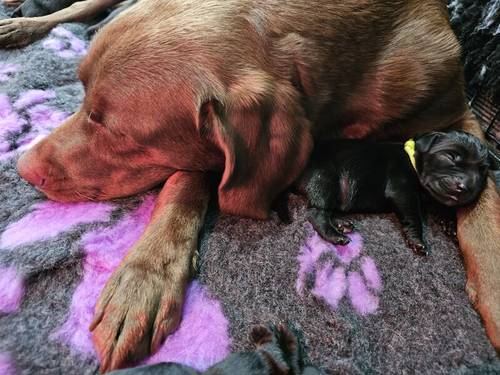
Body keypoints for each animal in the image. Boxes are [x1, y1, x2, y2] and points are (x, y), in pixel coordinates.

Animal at [294, 131, 490, 258]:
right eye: (450, 157)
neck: (413, 159)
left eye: (482, 170)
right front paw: (417, 240)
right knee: (316, 212)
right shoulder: (402, 192)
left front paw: (449, 221)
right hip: (325, 178)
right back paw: (335, 235)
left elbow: (440, 202)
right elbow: (414, 216)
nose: (464, 187)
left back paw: (341, 224)